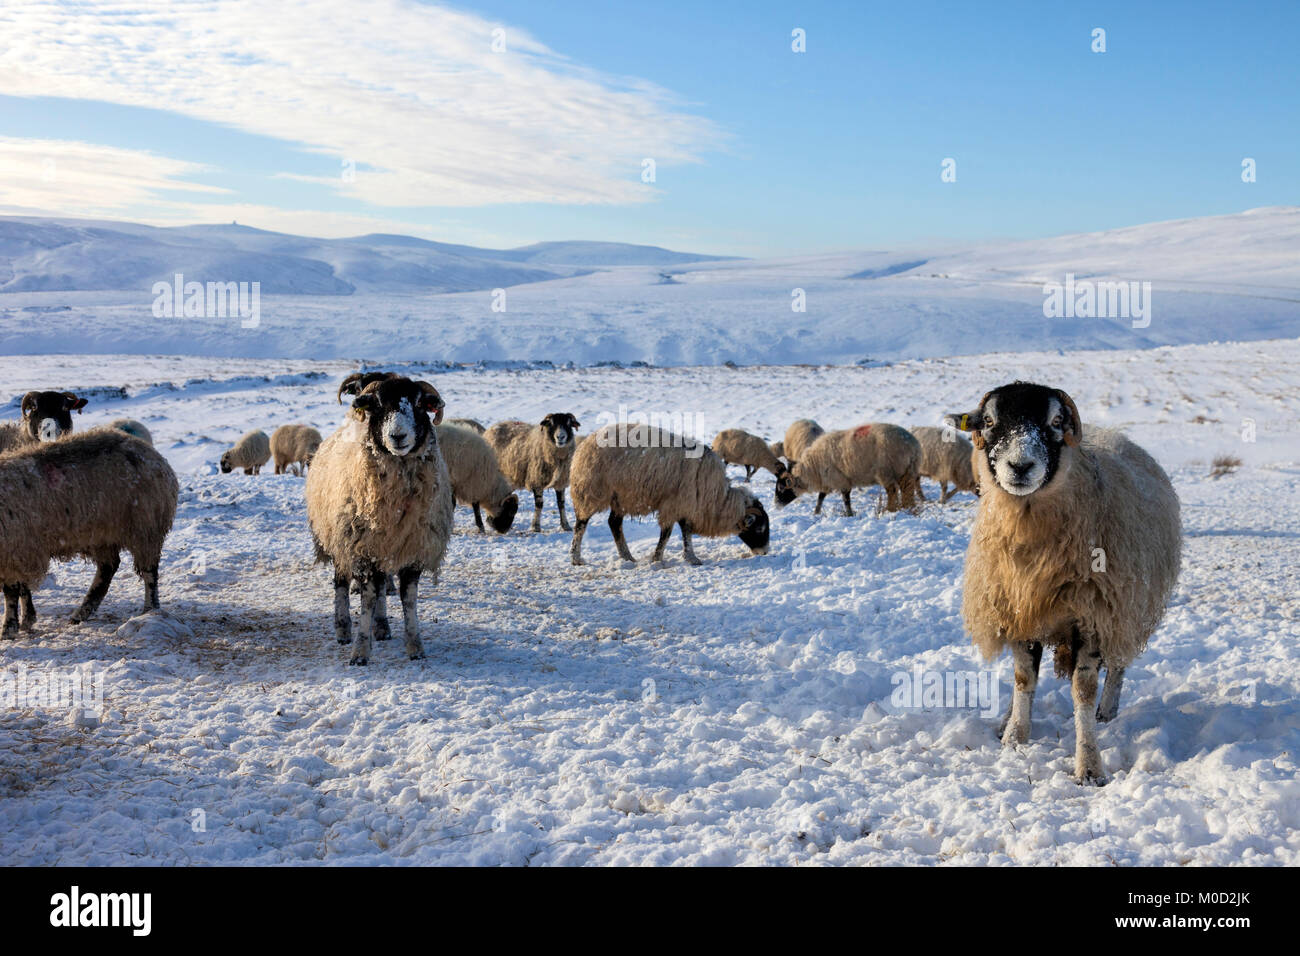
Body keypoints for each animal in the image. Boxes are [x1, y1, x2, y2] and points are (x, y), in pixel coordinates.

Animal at [0, 426, 178, 634]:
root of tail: (156, 457)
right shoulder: (21, 551)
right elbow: (22, 588)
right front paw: (27, 619)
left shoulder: (15, 550)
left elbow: (12, 591)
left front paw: (9, 627)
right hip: (102, 535)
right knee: (108, 569)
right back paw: (82, 613)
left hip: (145, 529)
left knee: (149, 572)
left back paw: (149, 608)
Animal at [304, 374, 452, 665]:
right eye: (379, 405)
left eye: (419, 404)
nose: (398, 436)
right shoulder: (362, 549)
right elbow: (368, 600)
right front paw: (360, 651)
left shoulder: (413, 549)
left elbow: (408, 600)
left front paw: (415, 646)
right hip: (339, 540)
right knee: (341, 583)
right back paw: (343, 628)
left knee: (383, 585)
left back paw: (382, 625)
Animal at [572, 421, 769, 564]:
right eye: (760, 528)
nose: (765, 552)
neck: (717, 497)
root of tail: (586, 442)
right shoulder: (676, 503)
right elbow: (670, 533)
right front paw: (660, 558)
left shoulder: (685, 505)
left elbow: (684, 531)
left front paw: (688, 557)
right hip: (591, 491)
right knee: (581, 524)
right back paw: (576, 558)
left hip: (619, 497)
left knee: (614, 523)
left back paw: (627, 557)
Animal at [785, 424, 920, 515]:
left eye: (784, 485)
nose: (780, 506)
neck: (813, 466)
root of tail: (912, 445)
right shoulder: (832, 480)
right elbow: (822, 497)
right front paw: (816, 512)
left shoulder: (839, 479)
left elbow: (845, 499)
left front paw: (849, 514)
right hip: (907, 470)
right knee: (907, 490)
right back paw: (907, 508)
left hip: (887, 471)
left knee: (892, 491)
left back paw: (890, 509)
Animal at [941, 382, 1185, 785]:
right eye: (989, 421)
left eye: (1056, 421)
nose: (1020, 466)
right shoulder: (1019, 608)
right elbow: (1023, 680)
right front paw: (1014, 737)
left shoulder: (1095, 615)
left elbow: (1083, 691)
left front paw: (1089, 766)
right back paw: (1007, 717)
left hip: (1129, 606)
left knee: (1118, 662)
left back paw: (1107, 710)